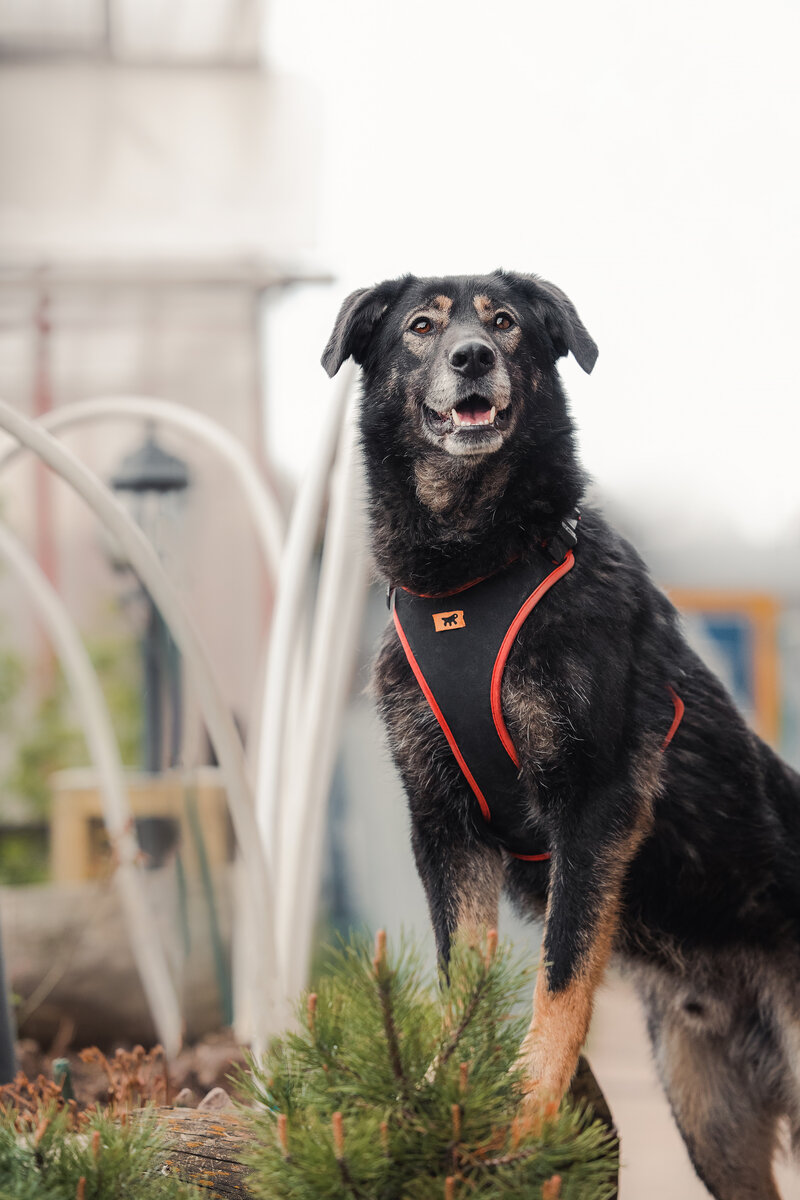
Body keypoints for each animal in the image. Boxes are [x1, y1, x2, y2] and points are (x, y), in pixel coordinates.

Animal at [321, 274, 800, 1200]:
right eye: (421, 326)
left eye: (504, 323)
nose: (474, 358)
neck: (471, 572)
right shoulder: (445, 826)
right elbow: (463, 980)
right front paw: (450, 1098)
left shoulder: (592, 806)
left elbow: (562, 976)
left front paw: (529, 1105)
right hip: (711, 1122)